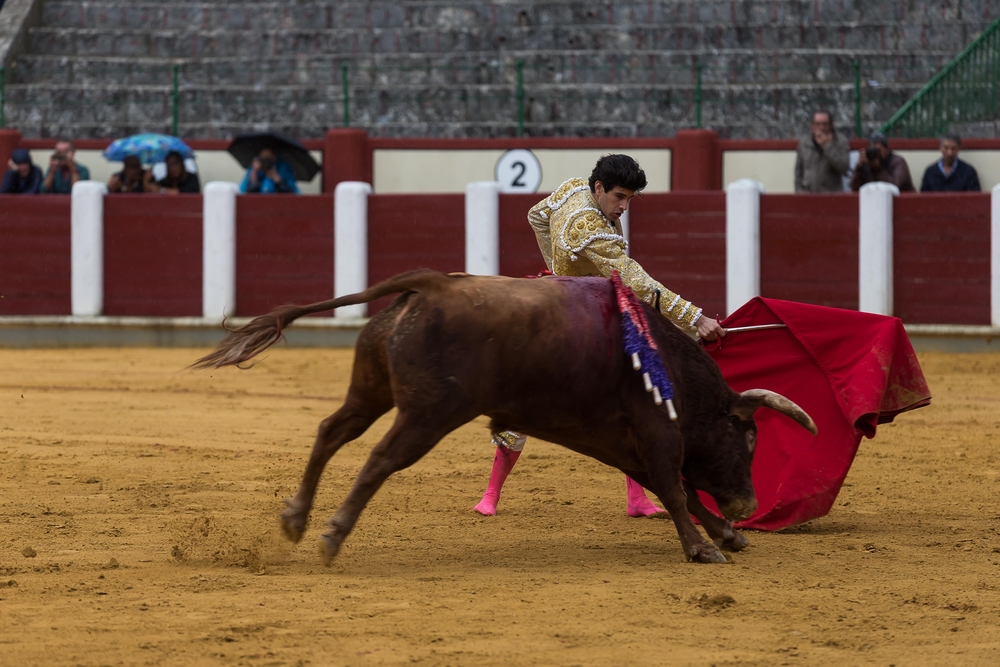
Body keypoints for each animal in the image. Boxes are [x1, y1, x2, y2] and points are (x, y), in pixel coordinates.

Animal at [193, 268, 812, 568]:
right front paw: (705, 547)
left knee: (330, 431)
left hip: (371, 391)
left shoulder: (617, 437)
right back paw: (331, 535)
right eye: (749, 437)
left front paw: (727, 535)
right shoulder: (654, 428)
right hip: (428, 415)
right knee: (379, 460)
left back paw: (296, 519)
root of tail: (430, 284)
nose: (748, 504)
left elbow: (672, 486)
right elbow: (675, 486)